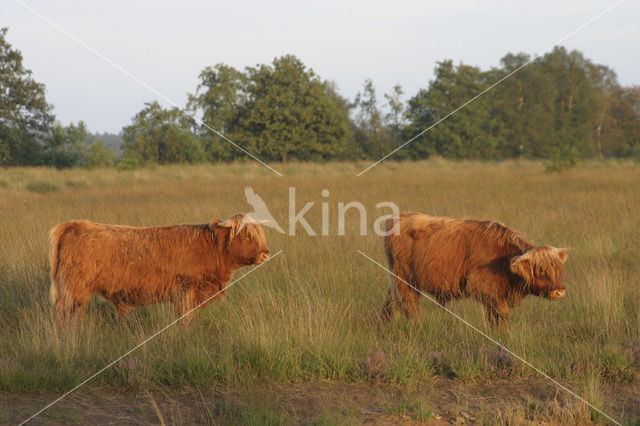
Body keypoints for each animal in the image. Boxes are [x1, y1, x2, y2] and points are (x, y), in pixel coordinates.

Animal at [49, 215, 270, 322]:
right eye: (245, 235)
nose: (266, 254)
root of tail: (72, 225)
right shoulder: (185, 291)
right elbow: (184, 319)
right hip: (73, 290)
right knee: (64, 314)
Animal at [380, 212, 568, 326]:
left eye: (559, 271)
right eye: (541, 270)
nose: (560, 291)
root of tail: (402, 216)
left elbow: (495, 316)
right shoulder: (485, 287)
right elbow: (501, 313)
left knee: (391, 301)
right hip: (404, 280)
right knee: (409, 305)